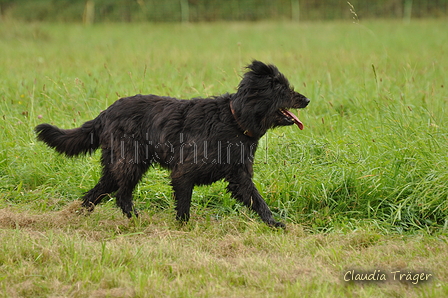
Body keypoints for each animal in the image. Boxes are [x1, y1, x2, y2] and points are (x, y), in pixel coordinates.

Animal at [35, 61, 310, 228]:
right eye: (282, 89)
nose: (307, 100)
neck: (233, 118)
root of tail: (105, 113)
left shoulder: (239, 176)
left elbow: (258, 201)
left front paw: (275, 224)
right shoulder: (183, 173)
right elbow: (184, 205)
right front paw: (183, 227)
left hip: (117, 164)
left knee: (97, 192)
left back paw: (76, 215)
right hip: (131, 162)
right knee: (121, 195)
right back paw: (137, 219)